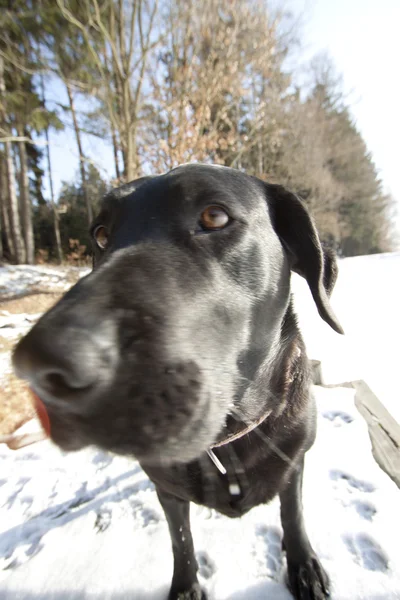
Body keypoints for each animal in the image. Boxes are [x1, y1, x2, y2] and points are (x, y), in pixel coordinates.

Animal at [14, 164, 342, 600]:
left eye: (214, 216)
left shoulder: (295, 461)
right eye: (100, 234)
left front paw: (303, 564)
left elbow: (293, 514)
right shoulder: (166, 489)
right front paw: (186, 587)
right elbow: (180, 539)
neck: (228, 441)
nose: (42, 369)